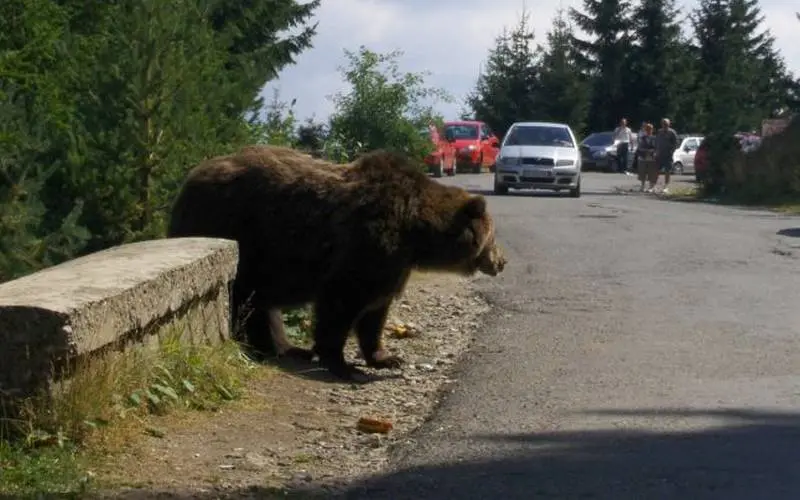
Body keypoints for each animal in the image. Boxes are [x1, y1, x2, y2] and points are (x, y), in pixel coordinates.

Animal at [168, 144, 506, 378]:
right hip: (238, 232)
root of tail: (188, 180)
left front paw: (386, 357)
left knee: (259, 303)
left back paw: (287, 347)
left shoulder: (392, 266)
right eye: (492, 235)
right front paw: (344, 366)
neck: (416, 232)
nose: (502, 261)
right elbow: (341, 306)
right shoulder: (366, 246)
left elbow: (375, 313)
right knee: (244, 297)